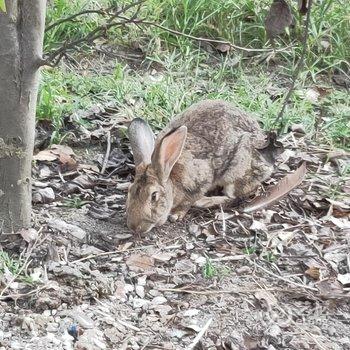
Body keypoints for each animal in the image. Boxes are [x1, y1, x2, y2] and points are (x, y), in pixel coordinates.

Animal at [126, 100, 274, 234]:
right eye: (130, 190)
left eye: (154, 196)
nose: (134, 227)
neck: (171, 177)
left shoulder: (199, 184)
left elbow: (188, 202)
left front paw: (176, 214)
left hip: (235, 174)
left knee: (235, 196)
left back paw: (205, 201)